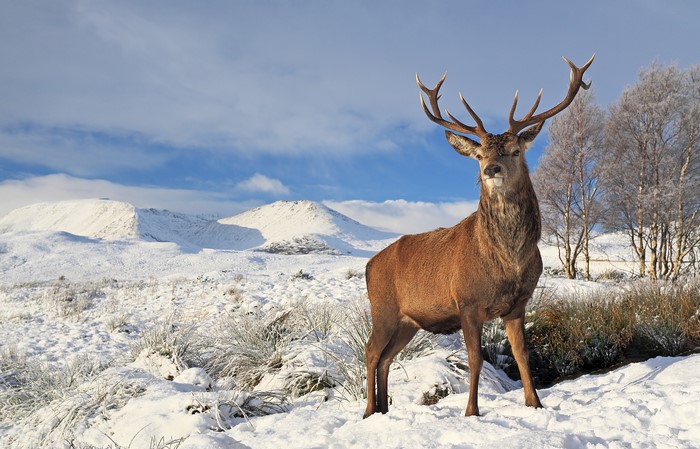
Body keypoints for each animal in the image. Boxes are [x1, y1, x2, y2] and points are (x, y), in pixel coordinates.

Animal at [363, 55, 594, 418]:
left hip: (408, 321)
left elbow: (522, 355)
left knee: (387, 357)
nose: (491, 170)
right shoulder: (467, 302)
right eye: (480, 154)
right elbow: (475, 359)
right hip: (382, 308)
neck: (508, 262)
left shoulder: (517, 304)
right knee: (371, 351)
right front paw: (471, 411)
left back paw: (384, 410)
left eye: (515, 150)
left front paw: (535, 403)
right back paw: (369, 411)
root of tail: (369, 265)